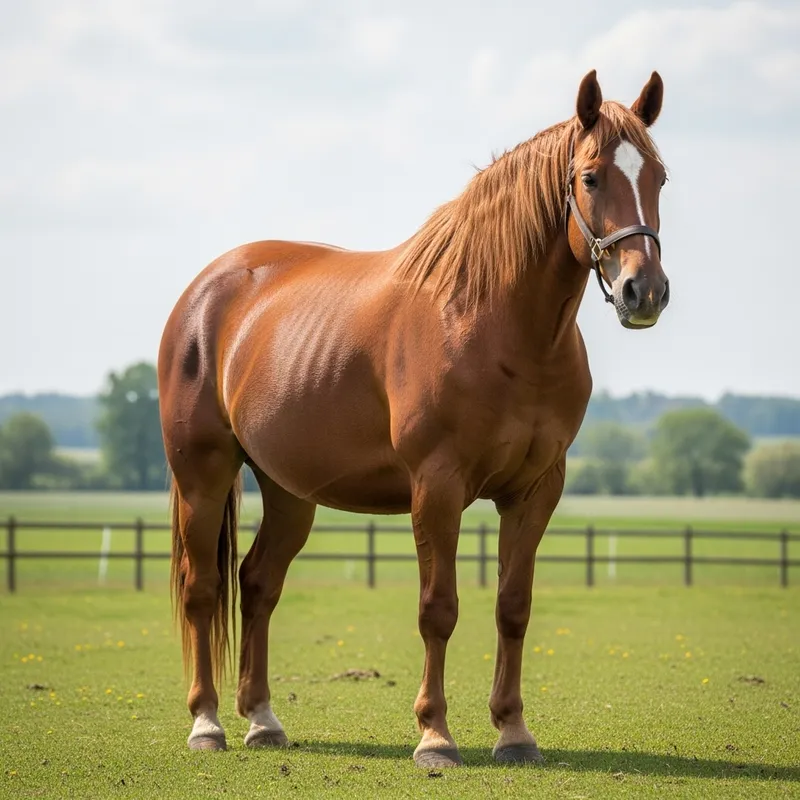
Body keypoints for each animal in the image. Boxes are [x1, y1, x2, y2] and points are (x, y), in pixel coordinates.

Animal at [157, 69, 670, 767]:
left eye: (660, 177)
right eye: (591, 178)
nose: (643, 292)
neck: (492, 321)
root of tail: (205, 291)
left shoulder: (537, 490)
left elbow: (513, 607)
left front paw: (513, 732)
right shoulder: (437, 486)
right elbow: (438, 609)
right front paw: (435, 736)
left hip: (289, 492)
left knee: (258, 584)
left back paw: (262, 720)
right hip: (202, 478)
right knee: (203, 589)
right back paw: (206, 723)